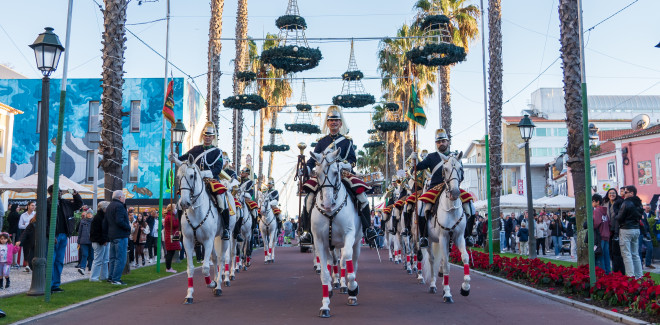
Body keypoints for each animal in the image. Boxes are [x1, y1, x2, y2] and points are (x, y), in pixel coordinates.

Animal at [175, 158, 235, 302]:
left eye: (192, 176)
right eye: (178, 177)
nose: (184, 203)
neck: (195, 210)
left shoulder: (207, 240)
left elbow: (205, 268)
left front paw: (212, 283)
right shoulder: (188, 242)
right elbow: (191, 269)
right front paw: (189, 295)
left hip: (225, 236)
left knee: (222, 259)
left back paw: (218, 285)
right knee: (215, 258)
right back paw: (216, 280)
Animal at [312, 147, 364, 316]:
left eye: (336, 172)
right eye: (317, 173)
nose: (328, 204)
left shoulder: (349, 235)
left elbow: (346, 260)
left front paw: (352, 288)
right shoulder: (320, 242)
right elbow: (324, 272)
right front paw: (325, 305)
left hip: (357, 243)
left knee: (352, 262)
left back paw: (351, 292)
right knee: (331, 262)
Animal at [422, 153, 470, 302]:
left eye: (461, 168)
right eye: (446, 169)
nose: (455, 192)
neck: (451, 208)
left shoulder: (458, 237)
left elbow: (465, 258)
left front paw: (465, 288)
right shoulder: (443, 237)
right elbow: (447, 265)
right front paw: (448, 293)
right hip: (430, 241)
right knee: (432, 260)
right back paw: (433, 285)